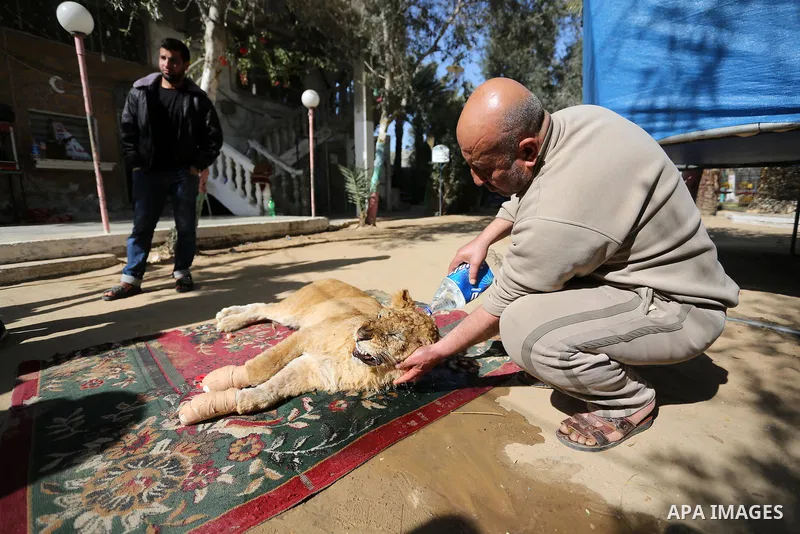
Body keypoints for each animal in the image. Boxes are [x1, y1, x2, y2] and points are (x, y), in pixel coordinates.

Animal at [177, 279, 440, 425]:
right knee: (263, 306)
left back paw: (227, 318)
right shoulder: (306, 335)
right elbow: (260, 369)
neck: (355, 361)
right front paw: (219, 382)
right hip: (293, 312)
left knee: (263, 309)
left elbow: (266, 392)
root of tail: (330, 276)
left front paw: (214, 403)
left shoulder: (313, 370)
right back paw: (227, 319)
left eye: (395, 335)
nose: (361, 333)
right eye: (379, 315)